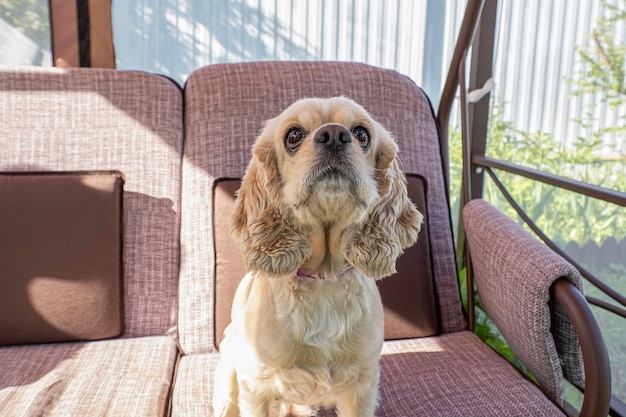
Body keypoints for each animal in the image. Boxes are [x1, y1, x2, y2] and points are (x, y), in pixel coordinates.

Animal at [212, 96, 422, 414]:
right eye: (293, 136)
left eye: (361, 134)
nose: (334, 135)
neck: (324, 278)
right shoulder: (255, 386)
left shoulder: (361, 387)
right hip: (228, 383)